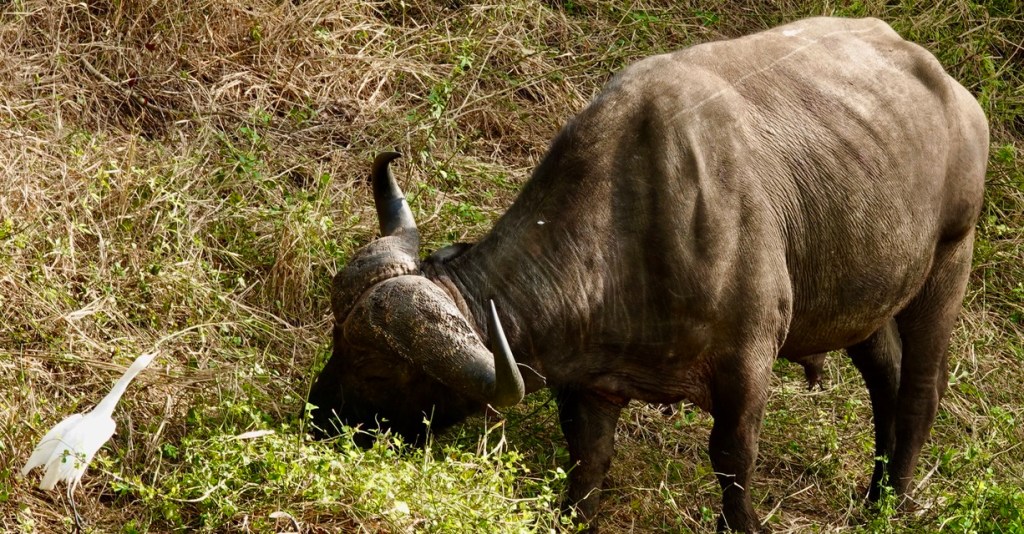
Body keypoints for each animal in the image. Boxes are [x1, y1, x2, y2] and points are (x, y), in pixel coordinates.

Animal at [307, 17, 987, 532]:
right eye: (337, 336)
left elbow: (732, 460)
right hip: (863, 301)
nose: (319, 418)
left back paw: (891, 504)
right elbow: (587, 466)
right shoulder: (591, 386)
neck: (635, 225)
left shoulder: (748, 364)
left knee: (920, 389)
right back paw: (875, 492)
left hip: (950, 261)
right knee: (886, 380)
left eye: (379, 367)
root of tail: (953, 91)